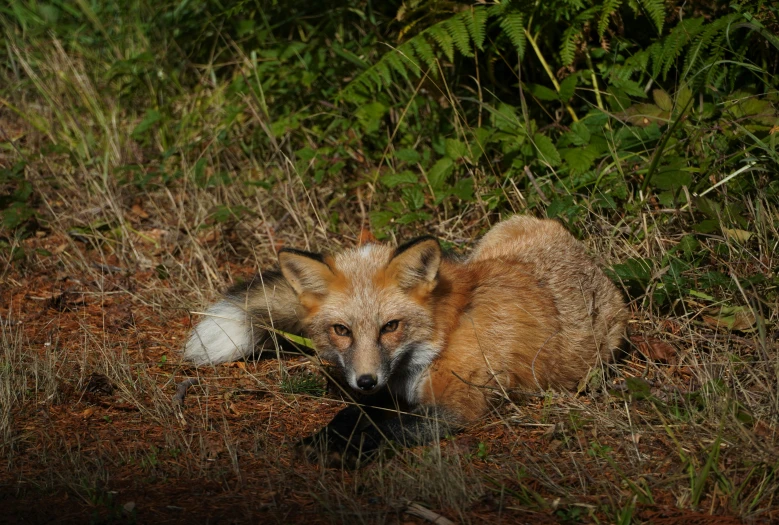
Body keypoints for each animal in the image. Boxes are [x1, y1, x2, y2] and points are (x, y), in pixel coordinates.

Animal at [186, 215, 632, 464]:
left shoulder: (457, 409)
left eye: (391, 326)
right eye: (342, 331)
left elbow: (386, 428)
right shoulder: (388, 391)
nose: (364, 381)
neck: (446, 332)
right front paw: (327, 437)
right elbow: (354, 415)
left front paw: (347, 453)